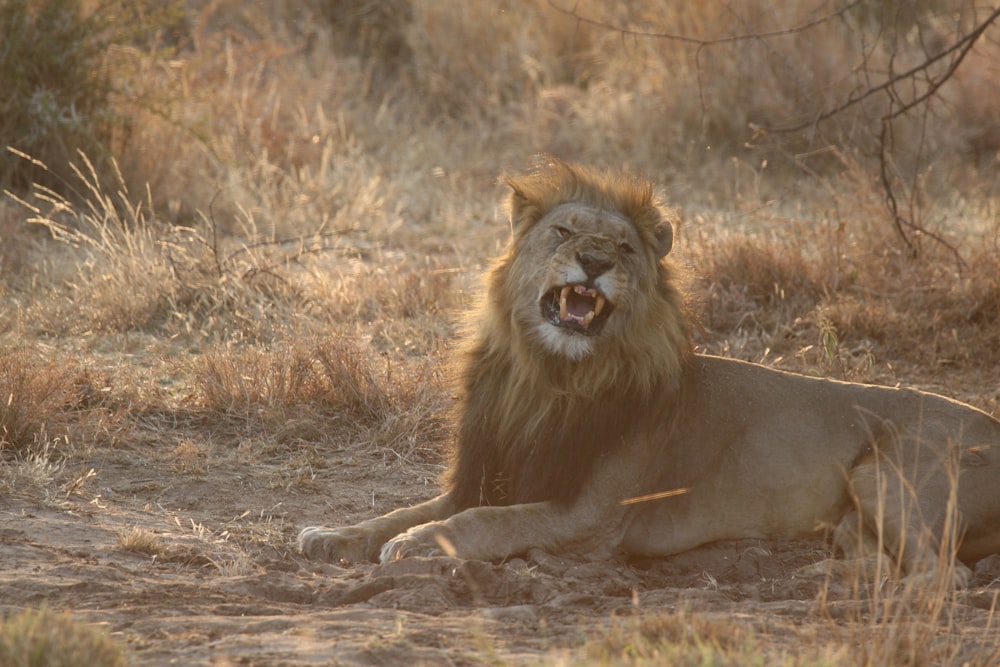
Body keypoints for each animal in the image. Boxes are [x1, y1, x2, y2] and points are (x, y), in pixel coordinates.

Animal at [296, 159, 1000, 588]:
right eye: (564, 231)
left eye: (625, 248)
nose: (595, 260)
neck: (548, 377)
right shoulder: (484, 474)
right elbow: (396, 511)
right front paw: (331, 535)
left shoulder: (587, 518)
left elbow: (487, 524)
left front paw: (418, 545)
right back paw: (819, 574)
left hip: (883, 475)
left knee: (944, 576)